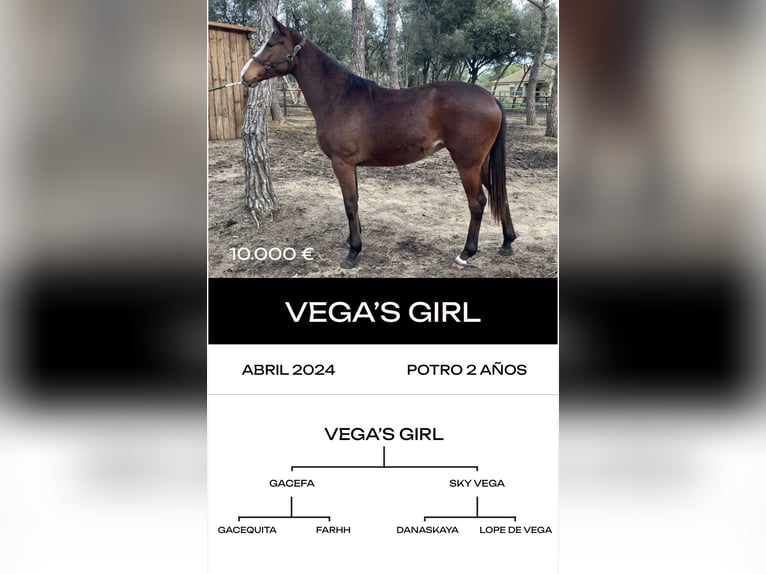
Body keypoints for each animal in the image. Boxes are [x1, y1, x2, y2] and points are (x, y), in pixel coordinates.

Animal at [241, 17, 516, 269]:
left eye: (270, 44)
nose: (245, 76)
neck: (339, 97)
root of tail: (491, 98)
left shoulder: (341, 163)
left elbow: (350, 204)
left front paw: (353, 251)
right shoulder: (351, 165)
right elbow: (355, 200)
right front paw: (352, 240)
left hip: (467, 164)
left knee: (478, 202)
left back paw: (466, 252)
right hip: (482, 163)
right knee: (499, 193)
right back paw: (507, 242)